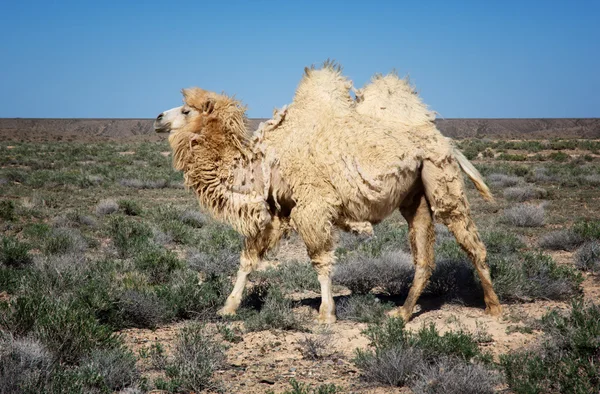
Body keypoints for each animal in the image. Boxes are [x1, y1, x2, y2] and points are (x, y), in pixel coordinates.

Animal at [154, 61, 502, 324]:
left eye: (186, 111)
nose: (157, 118)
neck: (264, 164)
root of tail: (445, 142)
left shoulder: (313, 206)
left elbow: (320, 261)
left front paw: (326, 313)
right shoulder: (276, 210)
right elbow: (248, 259)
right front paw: (228, 307)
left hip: (441, 178)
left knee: (470, 242)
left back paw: (493, 306)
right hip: (414, 196)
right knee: (423, 256)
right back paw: (402, 313)